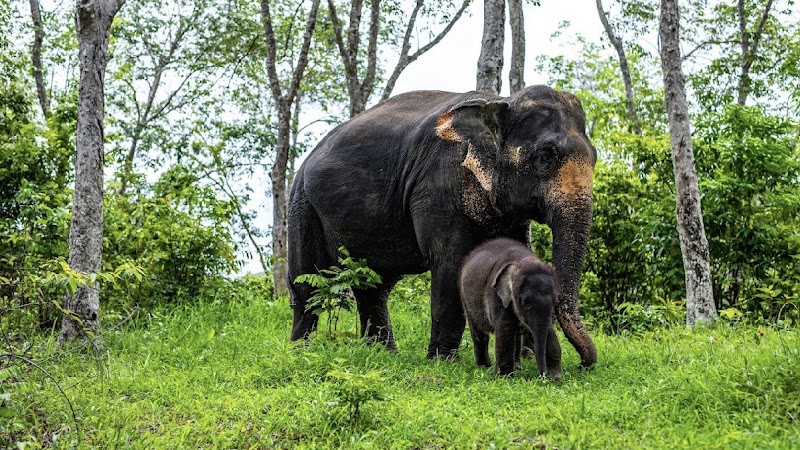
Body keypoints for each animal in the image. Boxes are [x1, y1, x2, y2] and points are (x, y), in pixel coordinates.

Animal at [459, 238, 557, 376]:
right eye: (525, 302)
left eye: (555, 301)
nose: (542, 376)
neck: (521, 261)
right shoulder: (496, 295)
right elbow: (504, 328)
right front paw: (505, 376)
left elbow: (549, 329)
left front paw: (555, 376)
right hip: (465, 297)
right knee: (479, 333)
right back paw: (485, 367)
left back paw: (517, 366)